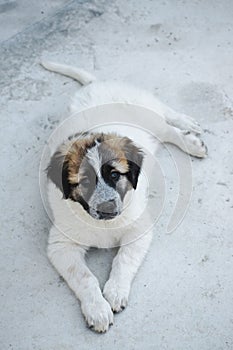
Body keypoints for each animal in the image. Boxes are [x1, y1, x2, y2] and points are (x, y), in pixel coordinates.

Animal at [41, 60, 207, 334]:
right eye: (84, 182)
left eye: (114, 175)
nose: (107, 207)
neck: (102, 224)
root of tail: (97, 83)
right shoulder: (62, 245)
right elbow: (84, 277)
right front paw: (97, 309)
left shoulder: (138, 228)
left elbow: (123, 259)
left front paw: (116, 291)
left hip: (145, 111)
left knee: (167, 122)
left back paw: (190, 134)